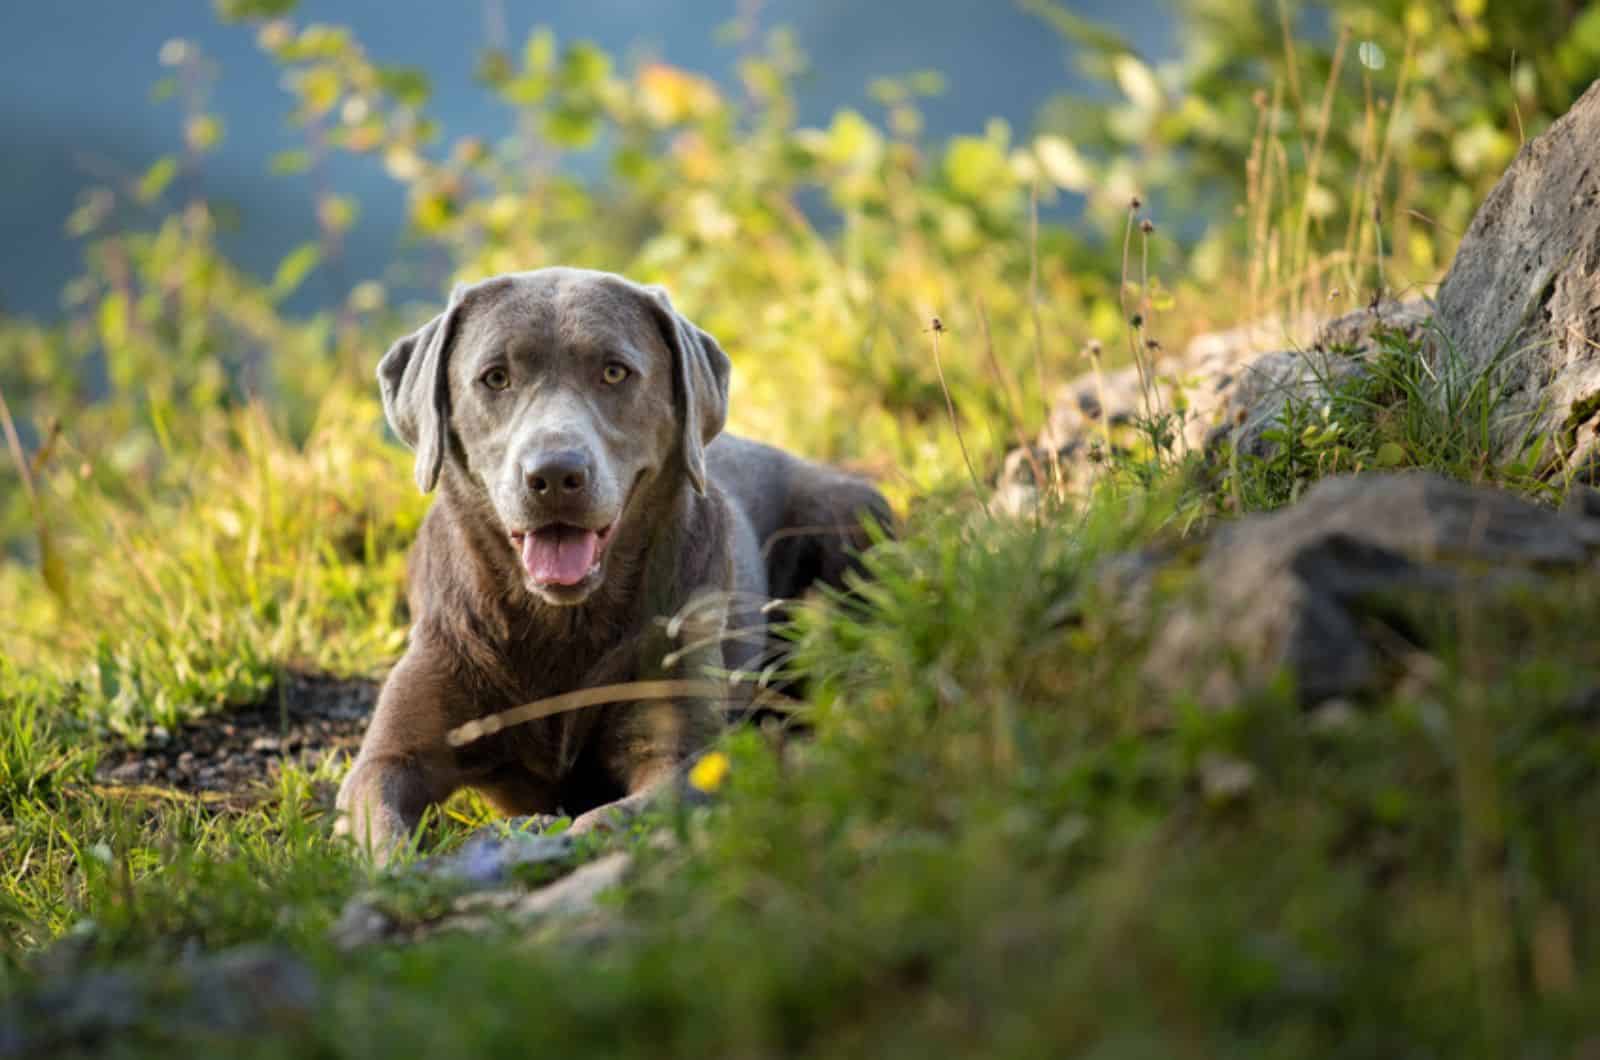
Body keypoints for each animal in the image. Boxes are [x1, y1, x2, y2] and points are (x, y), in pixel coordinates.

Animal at [336, 267, 889, 864]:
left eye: (614, 371)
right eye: (495, 377)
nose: (555, 475)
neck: (558, 624)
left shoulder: (679, 752)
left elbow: (615, 814)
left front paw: (556, 838)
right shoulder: (392, 753)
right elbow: (382, 825)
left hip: (847, 512)